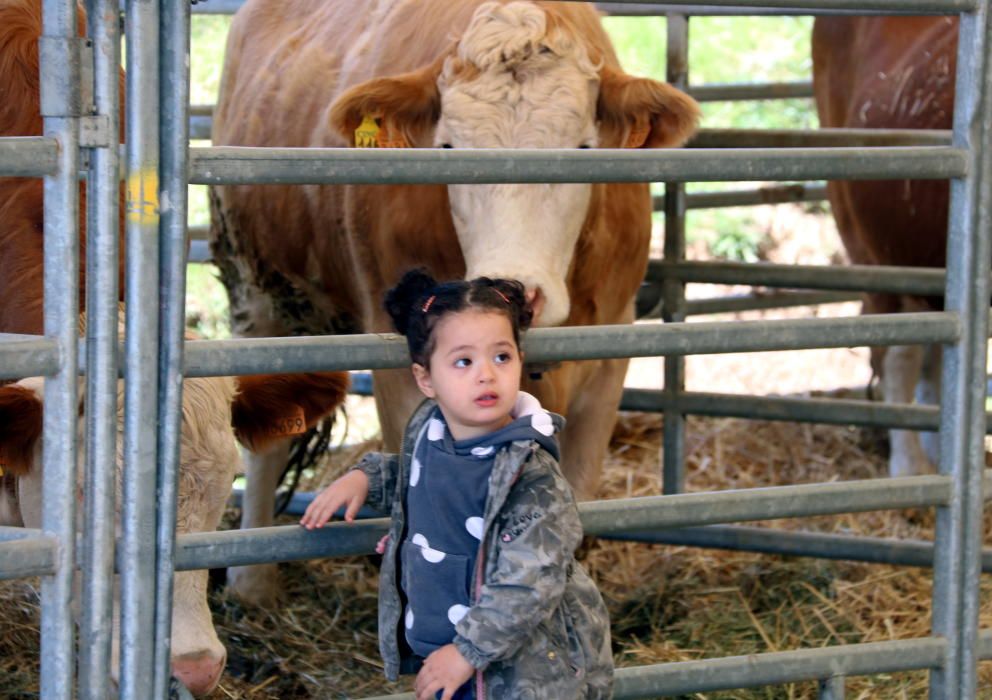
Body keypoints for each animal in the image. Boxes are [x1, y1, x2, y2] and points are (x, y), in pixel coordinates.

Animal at [209, 0, 696, 600]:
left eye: (584, 149)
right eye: (447, 150)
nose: (517, 286)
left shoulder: (611, 355)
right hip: (255, 293)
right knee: (266, 440)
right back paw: (252, 586)